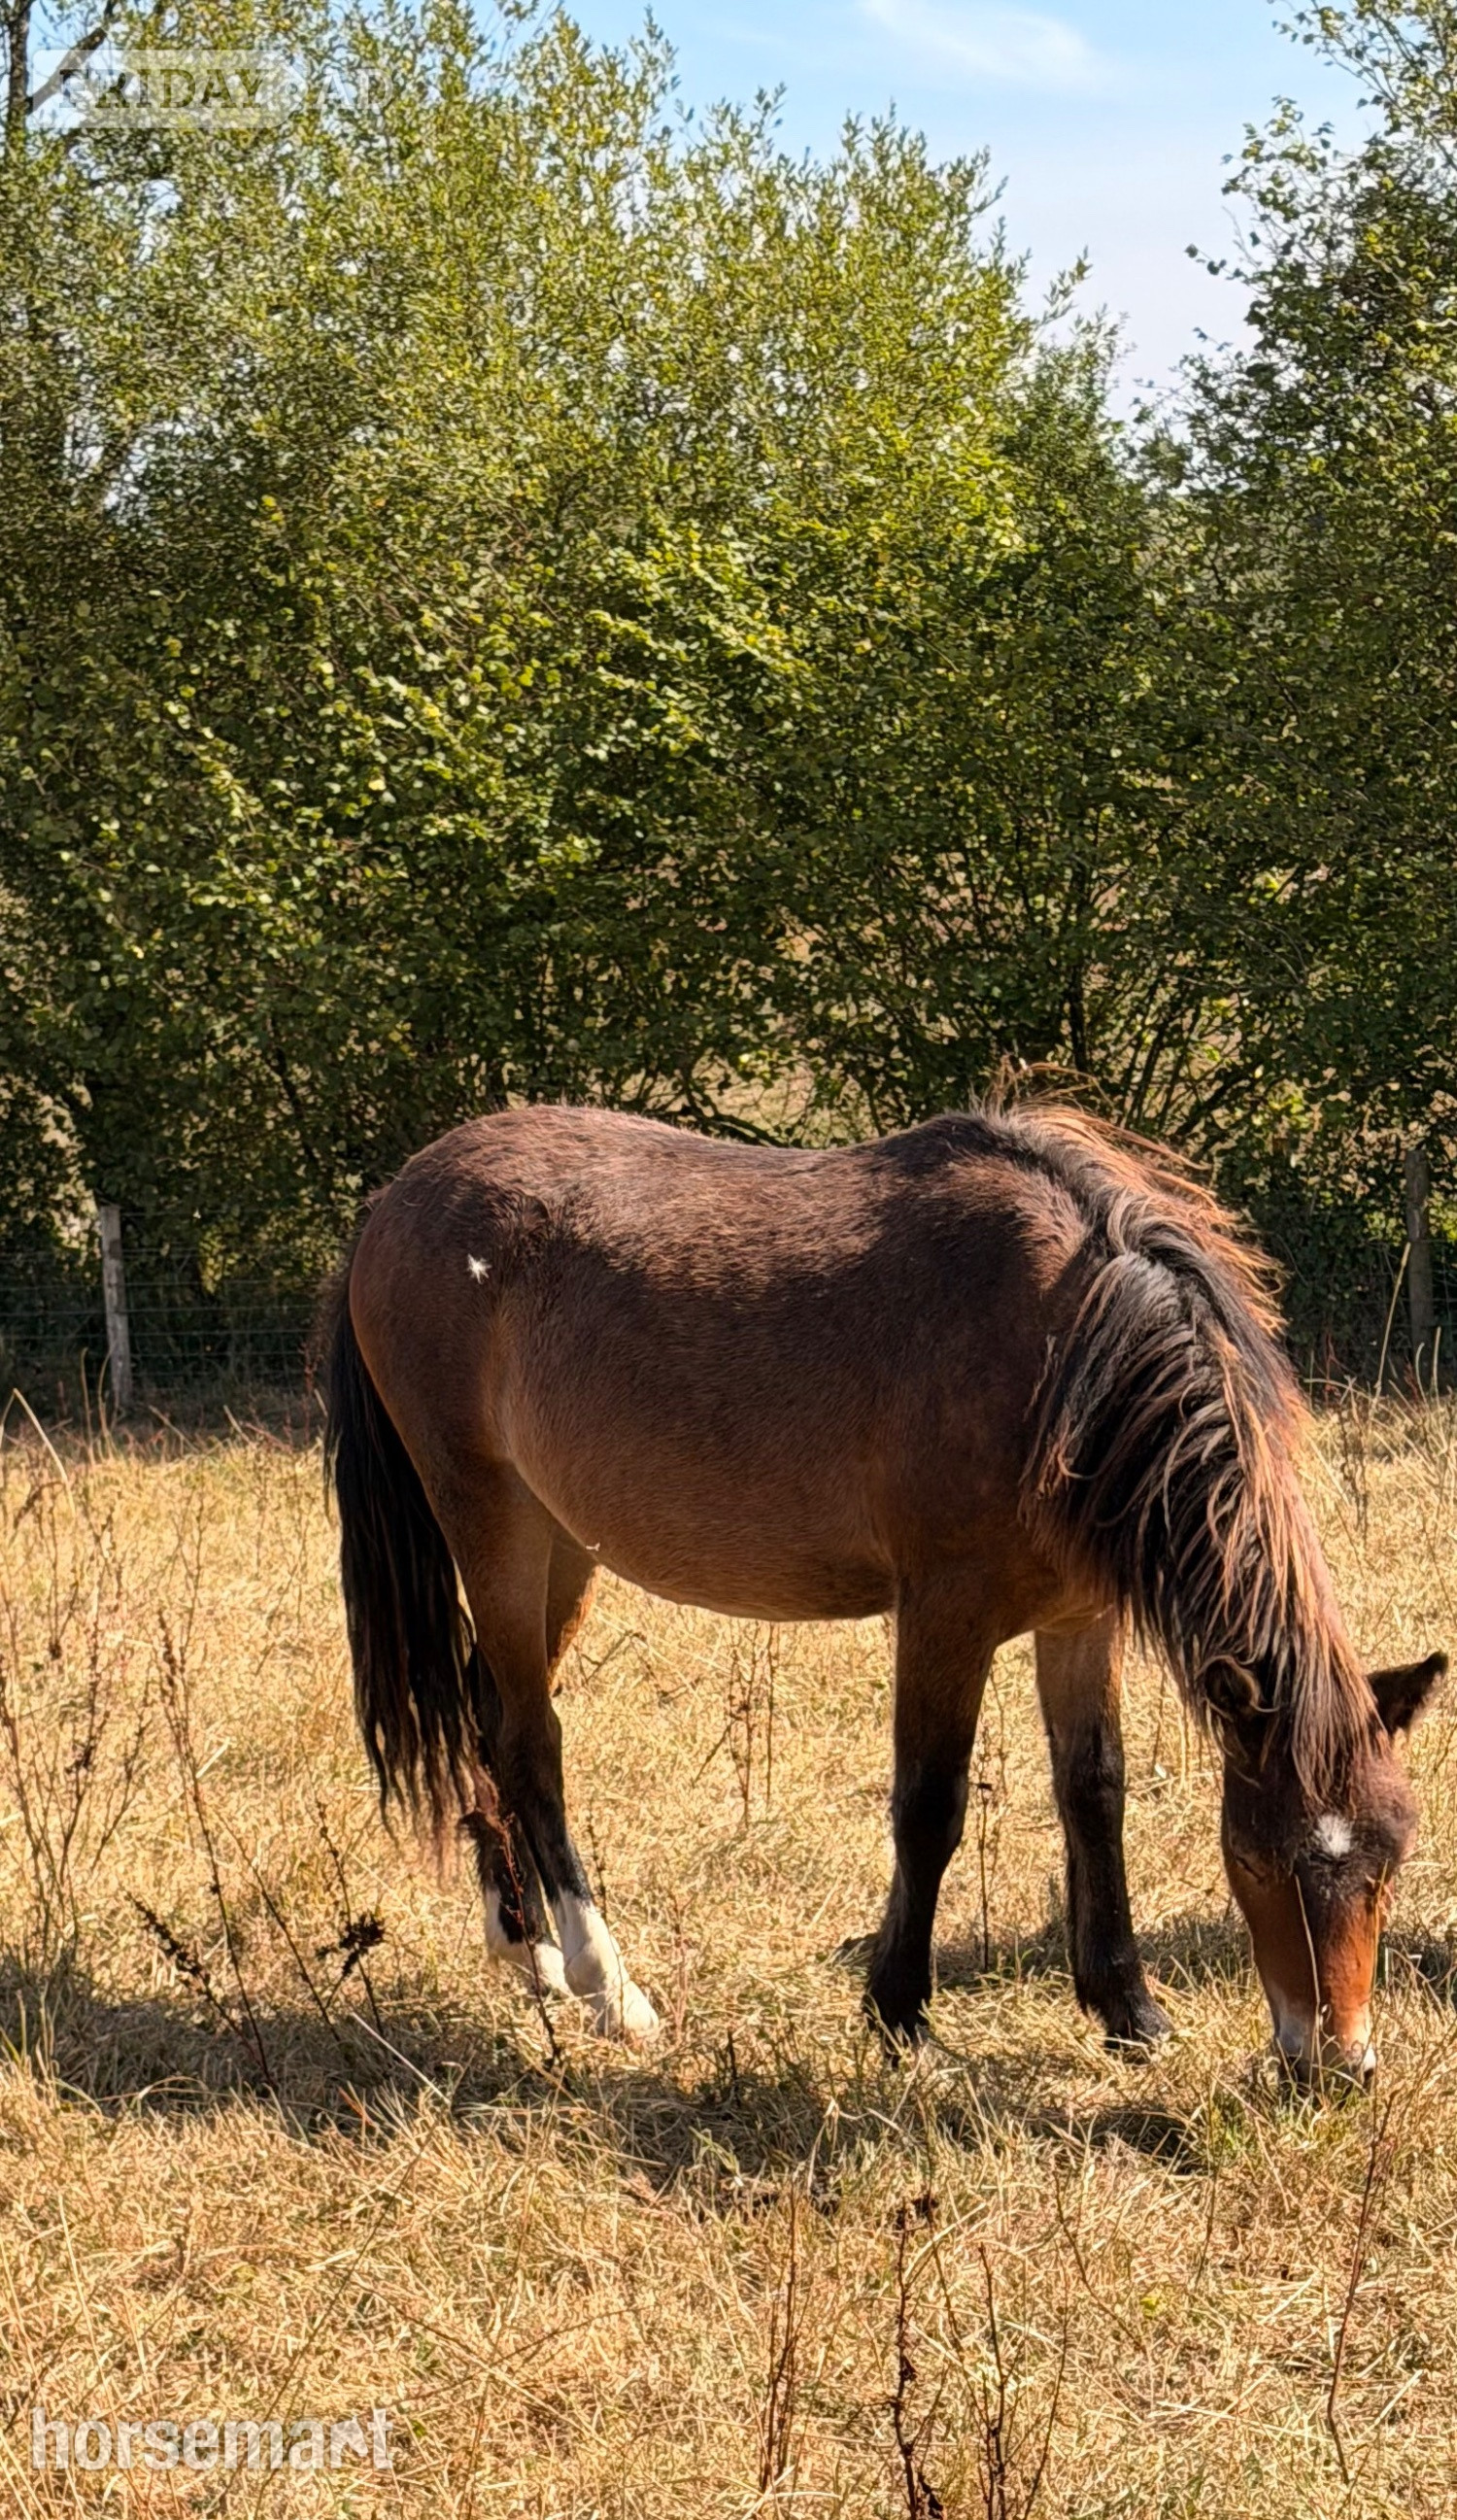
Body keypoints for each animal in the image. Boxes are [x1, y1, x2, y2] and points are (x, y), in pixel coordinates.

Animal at [323, 1100, 1444, 2087]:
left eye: (1388, 1860)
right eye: (1257, 1862)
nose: (1338, 2063)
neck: (1065, 1348)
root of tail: (395, 1201)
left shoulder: (1080, 1619)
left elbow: (1094, 1793)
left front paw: (1130, 2009)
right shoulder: (946, 1615)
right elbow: (930, 1806)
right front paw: (902, 2014)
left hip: (563, 1545)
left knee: (489, 1718)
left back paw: (527, 1948)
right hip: (493, 1523)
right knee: (531, 1742)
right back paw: (608, 1985)